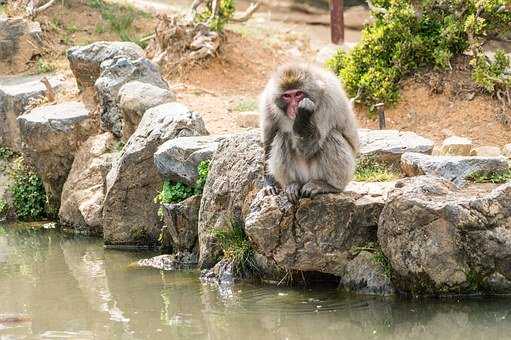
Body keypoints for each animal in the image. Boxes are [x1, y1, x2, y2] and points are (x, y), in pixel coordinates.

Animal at [260, 62, 360, 201]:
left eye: (298, 94)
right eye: (287, 96)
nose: (294, 108)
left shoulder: (328, 103)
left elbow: (310, 148)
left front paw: (303, 113)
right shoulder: (268, 103)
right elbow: (269, 140)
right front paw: (270, 183)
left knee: (331, 136)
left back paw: (329, 186)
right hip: (301, 174)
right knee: (281, 136)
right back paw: (293, 184)